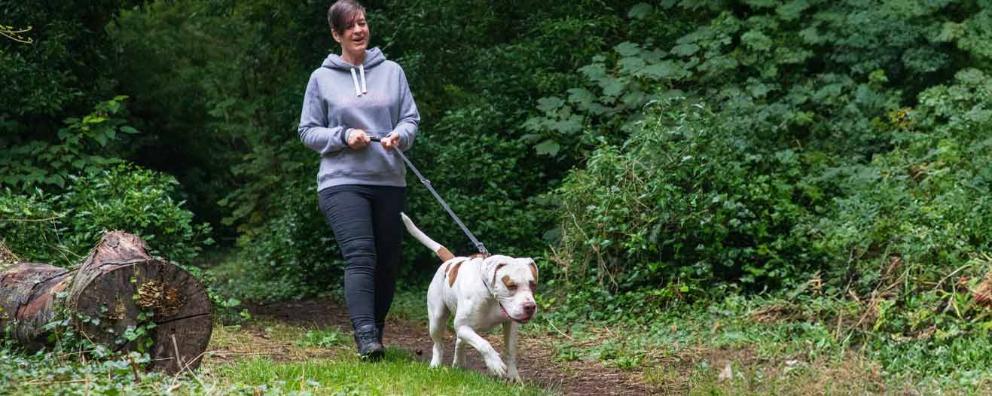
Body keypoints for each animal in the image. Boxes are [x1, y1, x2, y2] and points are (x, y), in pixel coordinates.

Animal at [400, 212, 540, 382]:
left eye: (533, 284)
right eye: (511, 285)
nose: (530, 307)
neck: (491, 297)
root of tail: (450, 260)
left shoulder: (510, 324)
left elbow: (510, 351)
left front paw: (513, 376)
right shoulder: (462, 326)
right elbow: (485, 344)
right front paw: (495, 363)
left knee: (460, 341)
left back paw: (459, 362)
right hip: (437, 320)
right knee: (438, 344)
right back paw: (436, 365)